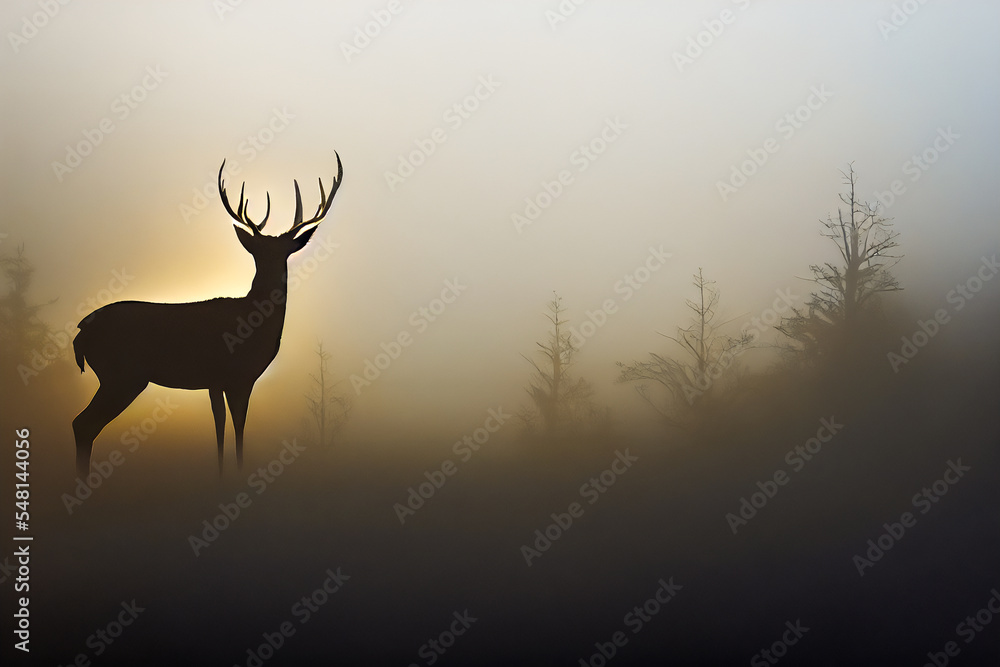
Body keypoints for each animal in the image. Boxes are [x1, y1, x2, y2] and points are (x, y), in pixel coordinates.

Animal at [72, 154, 343, 477]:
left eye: (283, 251)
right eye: (260, 252)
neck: (254, 325)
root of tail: (80, 333)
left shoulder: (217, 380)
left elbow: (221, 429)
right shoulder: (239, 377)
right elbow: (237, 429)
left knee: (83, 424)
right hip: (122, 375)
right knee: (83, 424)